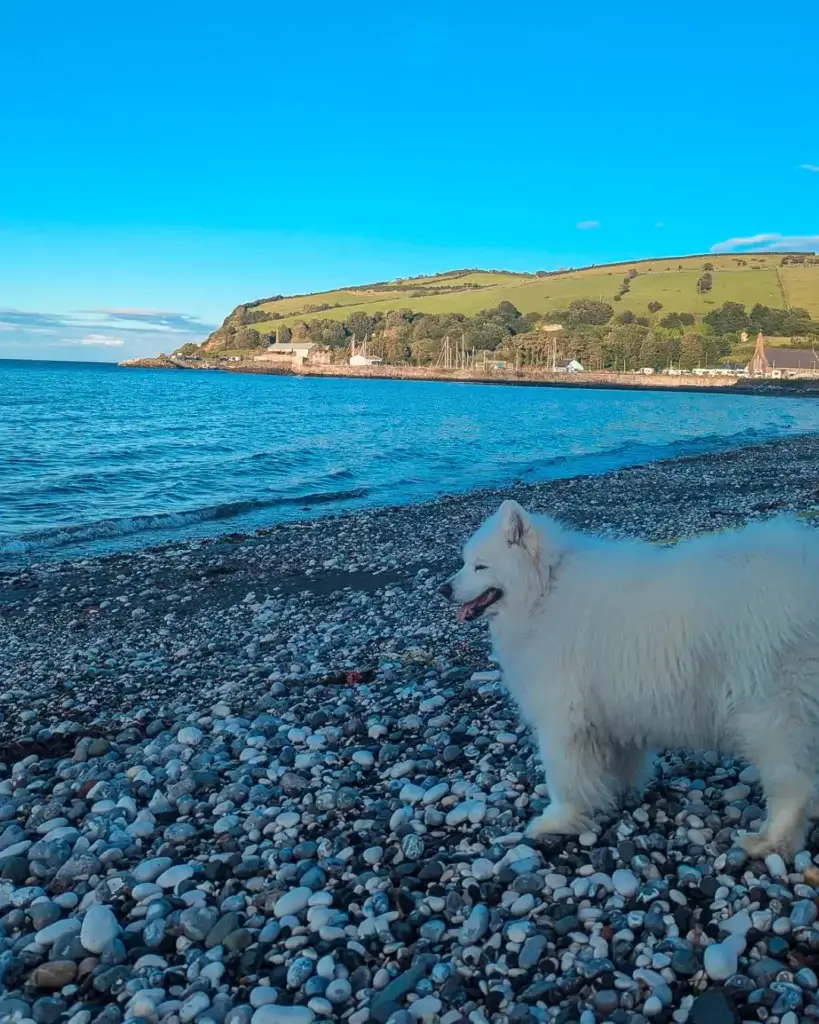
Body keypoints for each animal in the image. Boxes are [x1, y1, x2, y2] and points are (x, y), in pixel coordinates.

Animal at [442, 501, 819, 856]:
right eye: (464, 562)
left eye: (480, 566)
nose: (444, 588)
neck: (546, 590)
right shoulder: (611, 712)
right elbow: (619, 764)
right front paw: (618, 796)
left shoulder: (562, 717)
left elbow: (563, 777)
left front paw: (557, 821)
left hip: (767, 712)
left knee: (792, 784)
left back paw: (769, 841)